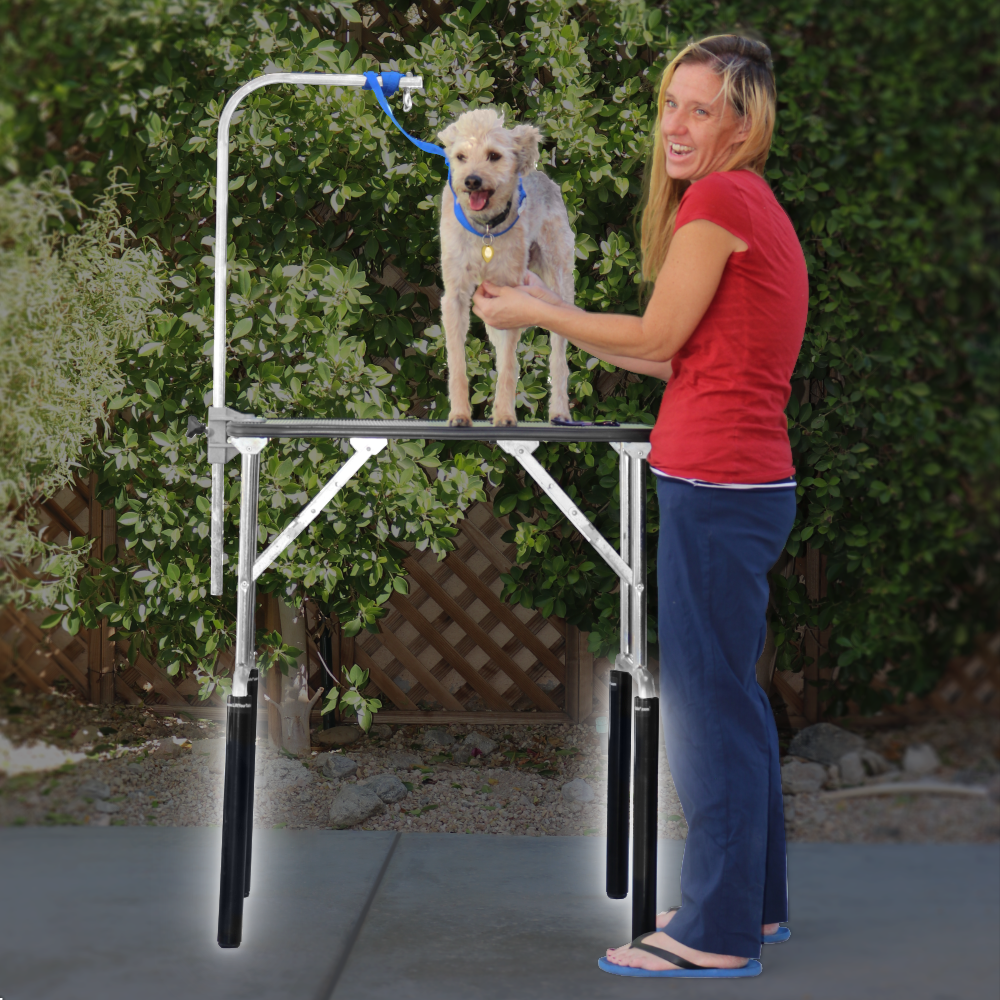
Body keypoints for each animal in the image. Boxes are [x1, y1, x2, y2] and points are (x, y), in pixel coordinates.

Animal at [436, 108, 576, 426]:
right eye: (460, 157)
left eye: (494, 156)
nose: (471, 180)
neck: (485, 229)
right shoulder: (456, 295)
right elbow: (458, 362)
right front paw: (459, 413)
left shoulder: (509, 293)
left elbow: (510, 367)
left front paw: (504, 414)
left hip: (559, 278)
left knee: (558, 358)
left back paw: (560, 411)